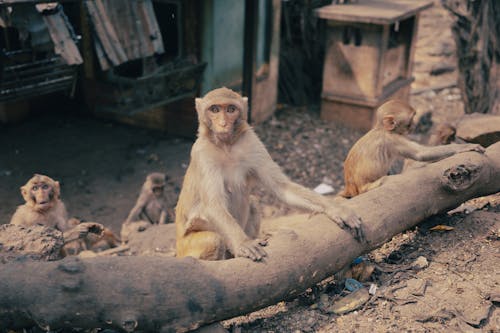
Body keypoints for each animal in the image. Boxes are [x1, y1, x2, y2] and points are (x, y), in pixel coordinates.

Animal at [176, 86, 364, 262]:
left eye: (231, 109)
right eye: (214, 109)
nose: (223, 123)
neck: (226, 145)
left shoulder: (251, 142)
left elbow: (281, 187)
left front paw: (336, 209)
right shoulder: (202, 154)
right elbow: (213, 204)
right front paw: (244, 242)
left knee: (253, 203)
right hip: (186, 247)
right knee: (213, 240)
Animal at [340, 98, 484, 197]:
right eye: (410, 121)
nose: (414, 125)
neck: (382, 129)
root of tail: (351, 187)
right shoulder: (395, 140)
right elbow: (421, 154)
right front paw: (465, 146)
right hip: (366, 187)